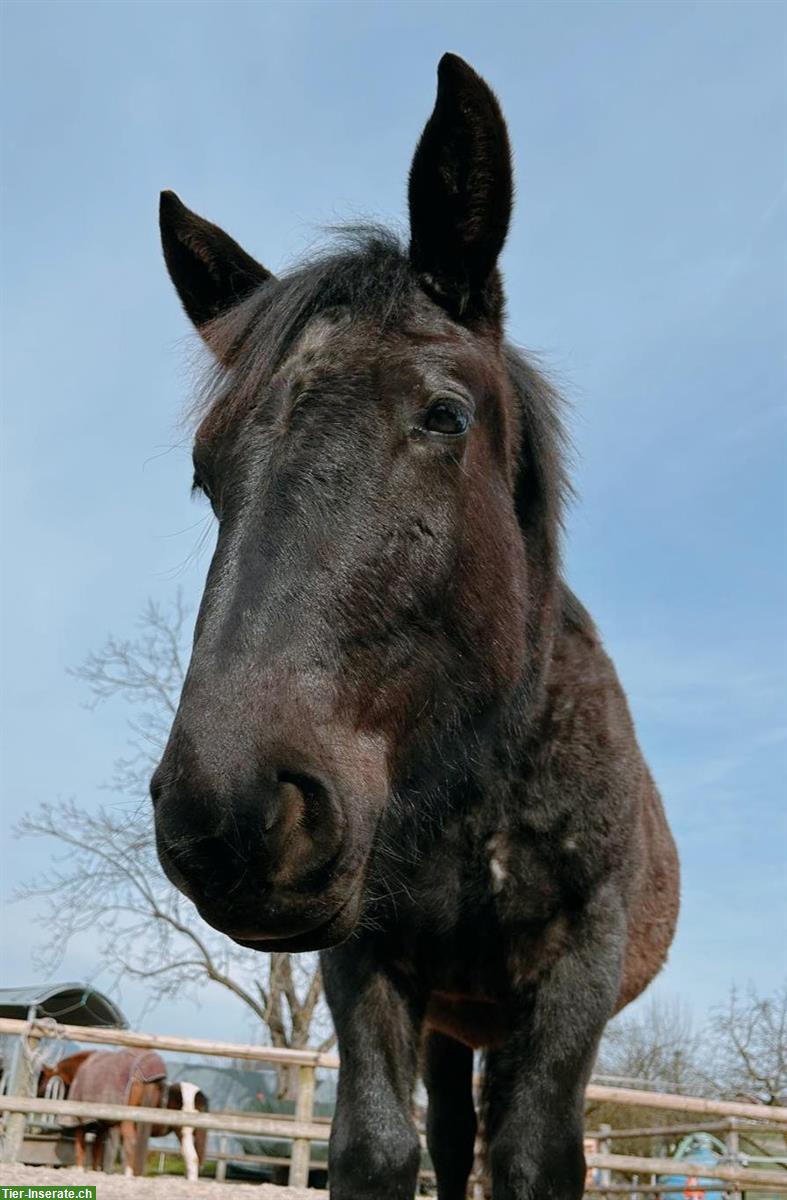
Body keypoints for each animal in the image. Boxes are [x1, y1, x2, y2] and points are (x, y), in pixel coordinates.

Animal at [152, 51, 676, 1195]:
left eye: (446, 416)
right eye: (206, 474)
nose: (230, 811)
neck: (481, 781)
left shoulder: (574, 969)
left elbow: (533, 1157)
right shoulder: (369, 957)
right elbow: (379, 1149)